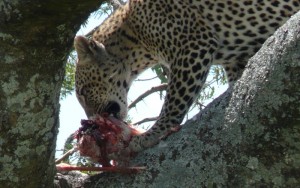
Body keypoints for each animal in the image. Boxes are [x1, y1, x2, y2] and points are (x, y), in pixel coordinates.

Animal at [73, 0, 300, 153]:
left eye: (83, 92)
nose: (91, 119)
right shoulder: (236, 59)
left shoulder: (193, 46)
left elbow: (173, 102)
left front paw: (152, 134)